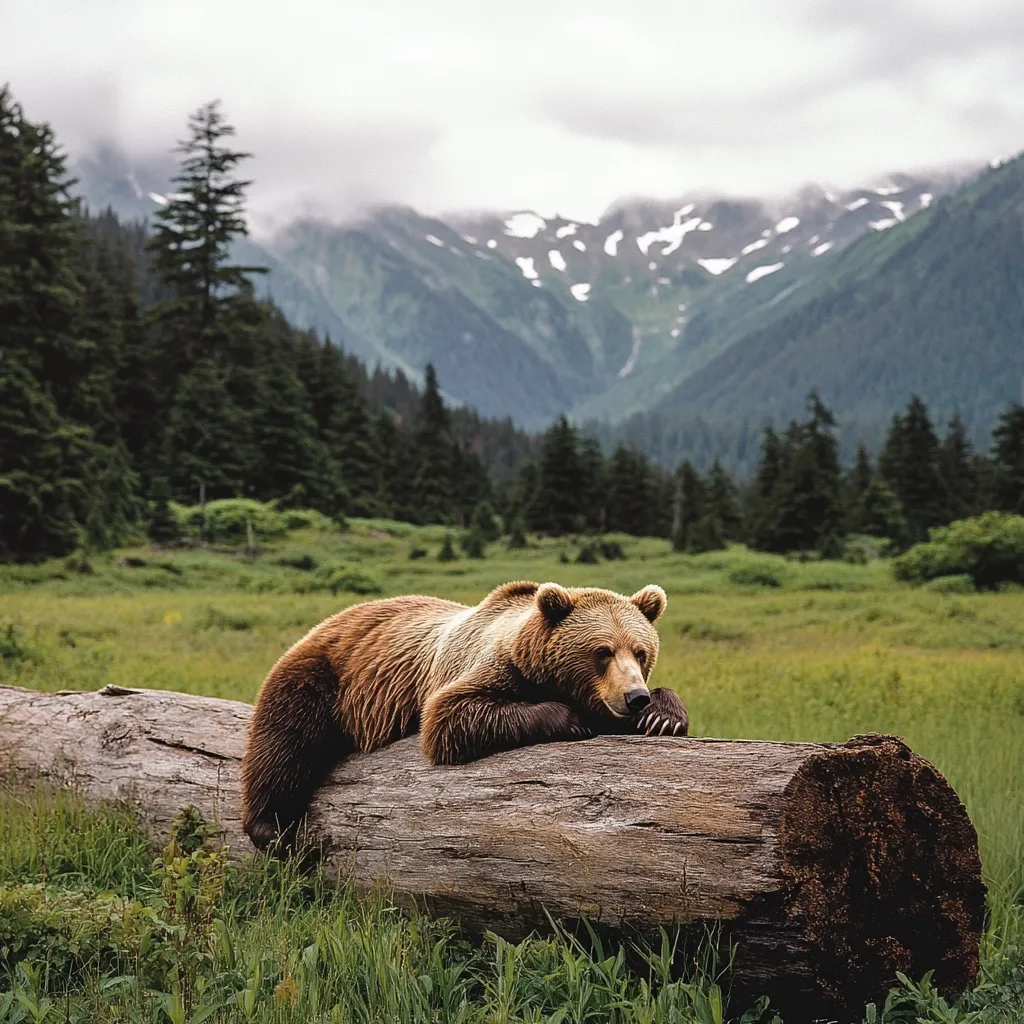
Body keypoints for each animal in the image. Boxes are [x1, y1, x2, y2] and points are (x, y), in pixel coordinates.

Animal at [240, 579, 688, 850]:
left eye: (640, 651)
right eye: (602, 651)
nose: (634, 697)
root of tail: (332, 619)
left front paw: (663, 716)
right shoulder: (484, 668)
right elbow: (451, 716)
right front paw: (572, 719)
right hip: (321, 676)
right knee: (285, 743)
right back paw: (269, 827)